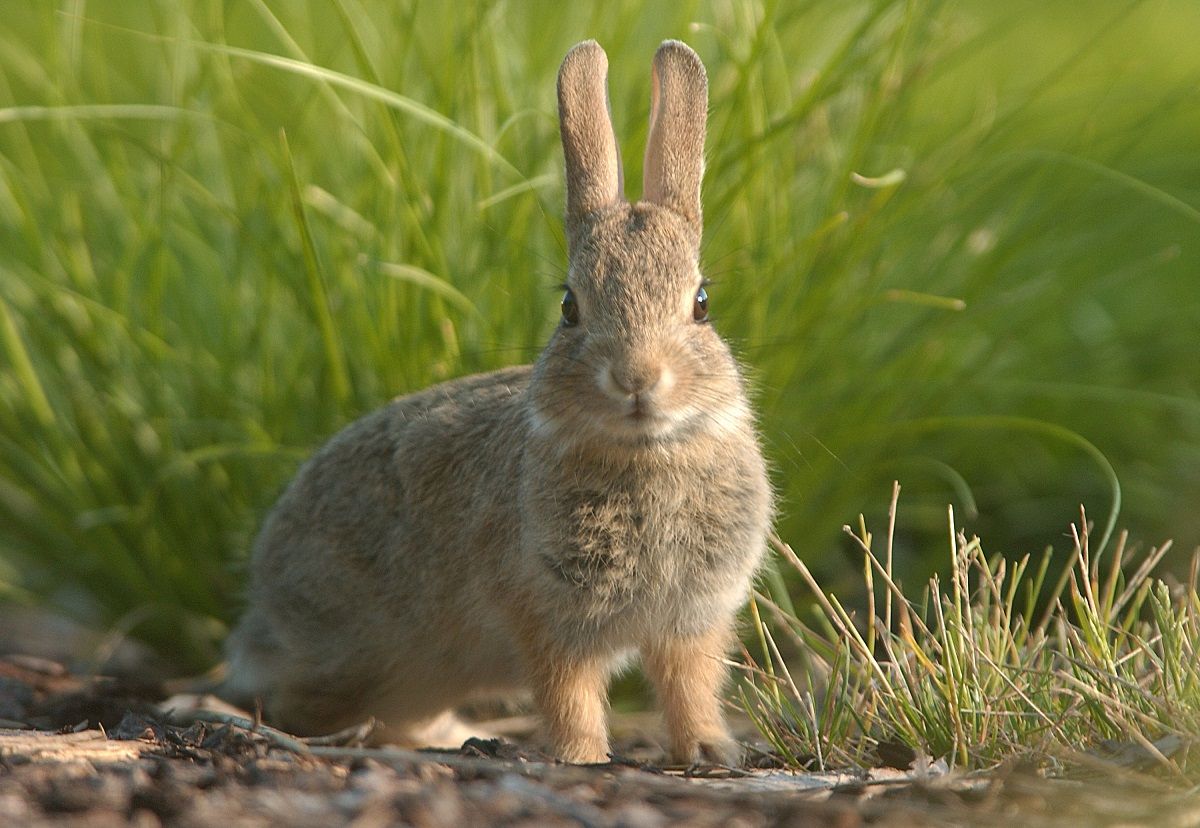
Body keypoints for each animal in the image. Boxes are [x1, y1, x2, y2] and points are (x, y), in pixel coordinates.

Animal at [222, 39, 773, 766]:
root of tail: (266, 590)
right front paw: (583, 757)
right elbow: (567, 692)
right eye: (569, 308)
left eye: (702, 304)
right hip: (359, 654)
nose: (636, 379)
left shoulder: (690, 620)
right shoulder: (543, 611)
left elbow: (689, 689)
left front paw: (710, 751)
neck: (644, 455)